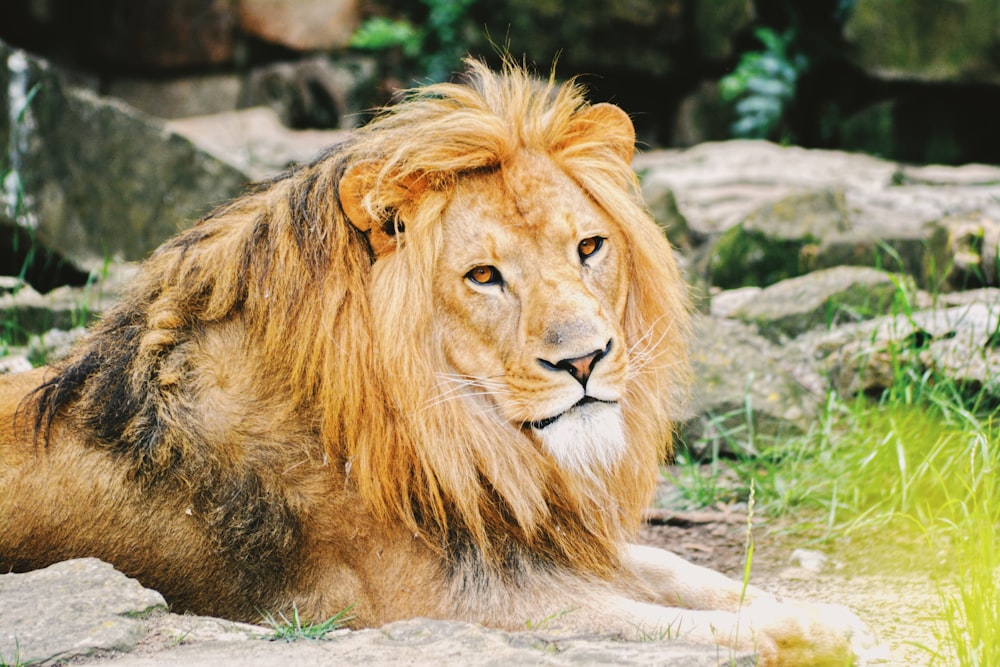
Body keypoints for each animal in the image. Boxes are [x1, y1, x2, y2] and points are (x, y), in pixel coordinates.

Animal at [0, 60, 872, 664]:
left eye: (589, 247)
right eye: (484, 276)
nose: (586, 359)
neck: (462, 433)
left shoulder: (514, 534)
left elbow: (679, 571)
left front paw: (826, 613)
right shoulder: (448, 603)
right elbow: (668, 624)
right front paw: (798, 632)